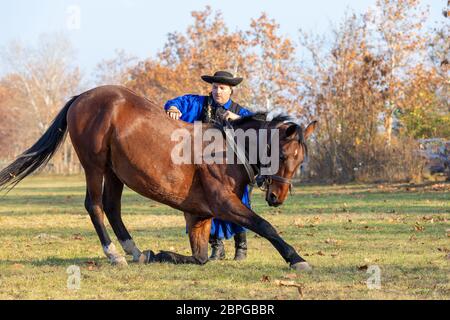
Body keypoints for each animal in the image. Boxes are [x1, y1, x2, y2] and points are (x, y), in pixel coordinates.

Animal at [0, 85, 316, 272]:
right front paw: (297, 259)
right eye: (283, 156)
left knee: (112, 207)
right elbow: (265, 225)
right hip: (94, 164)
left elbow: (200, 257)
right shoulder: (224, 204)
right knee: (95, 206)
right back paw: (114, 254)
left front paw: (161, 254)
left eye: (301, 160)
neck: (230, 150)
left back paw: (136, 252)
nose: (277, 197)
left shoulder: (199, 215)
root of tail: (83, 96)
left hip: (114, 172)